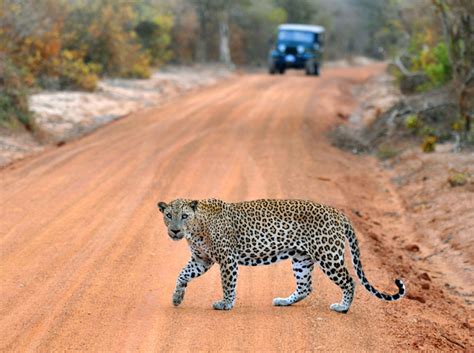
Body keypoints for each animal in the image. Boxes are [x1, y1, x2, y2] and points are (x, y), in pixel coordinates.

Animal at [157, 198, 406, 310]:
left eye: (184, 216)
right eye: (169, 215)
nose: (175, 230)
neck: (197, 228)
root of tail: (339, 213)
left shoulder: (227, 260)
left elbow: (228, 284)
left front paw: (226, 304)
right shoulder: (202, 259)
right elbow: (182, 274)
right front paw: (177, 297)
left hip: (328, 255)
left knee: (349, 280)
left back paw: (342, 307)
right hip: (301, 258)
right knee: (305, 287)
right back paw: (284, 301)